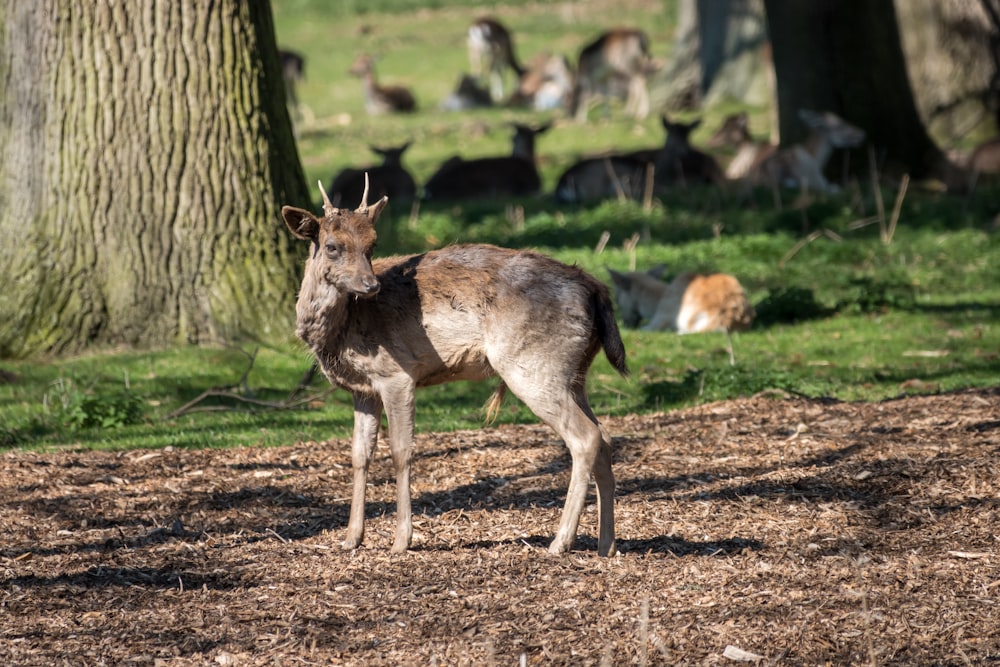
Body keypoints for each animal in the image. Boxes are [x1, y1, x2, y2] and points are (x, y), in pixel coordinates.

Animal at [282, 180, 624, 556]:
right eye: (331, 246)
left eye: (372, 244)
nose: (370, 285)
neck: (342, 331)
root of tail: (596, 289)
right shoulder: (363, 389)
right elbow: (359, 455)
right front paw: (351, 538)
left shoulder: (397, 373)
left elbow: (401, 452)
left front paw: (401, 540)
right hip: (574, 372)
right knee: (605, 437)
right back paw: (606, 545)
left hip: (533, 365)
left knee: (585, 437)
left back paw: (560, 542)